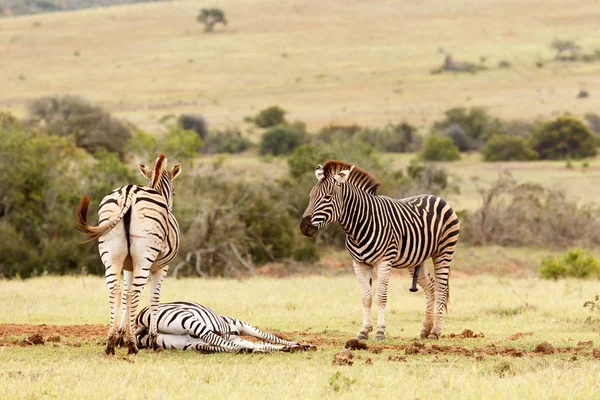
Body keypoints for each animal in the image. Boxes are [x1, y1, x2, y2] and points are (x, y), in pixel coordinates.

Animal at [76, 154, 182, 356]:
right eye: (174, 191)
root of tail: (129, 192)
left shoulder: (127, 267)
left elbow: (124, 295)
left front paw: (120, 337)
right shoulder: (161, 268)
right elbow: (154, 299)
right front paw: (153, 341)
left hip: (111, 256)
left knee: (115, 291)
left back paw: (110, 343)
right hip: (144, 258)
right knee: (133, 293)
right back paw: (133, 345)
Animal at [134, 300, 312, 354]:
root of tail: (141, 320)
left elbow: (262, 342)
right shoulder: (240, 324)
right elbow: (268, 337)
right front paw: (297, 345)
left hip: (189, 342)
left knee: (217, 343)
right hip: (185, 320)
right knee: (214, 338)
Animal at [300, 161, 460, 342]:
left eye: (327, 197)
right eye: (311, 196)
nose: (304, 227)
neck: (358, 227)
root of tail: (436, 197)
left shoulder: (384, 261)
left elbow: (381, 297)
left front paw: (380, 332)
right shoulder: (359, 263)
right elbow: (366, 297)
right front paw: (364, 331)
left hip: (444, 252)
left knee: (441, 289)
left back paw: (435, 332)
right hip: (417, 259)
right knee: (430, 287)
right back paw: (426, 329)